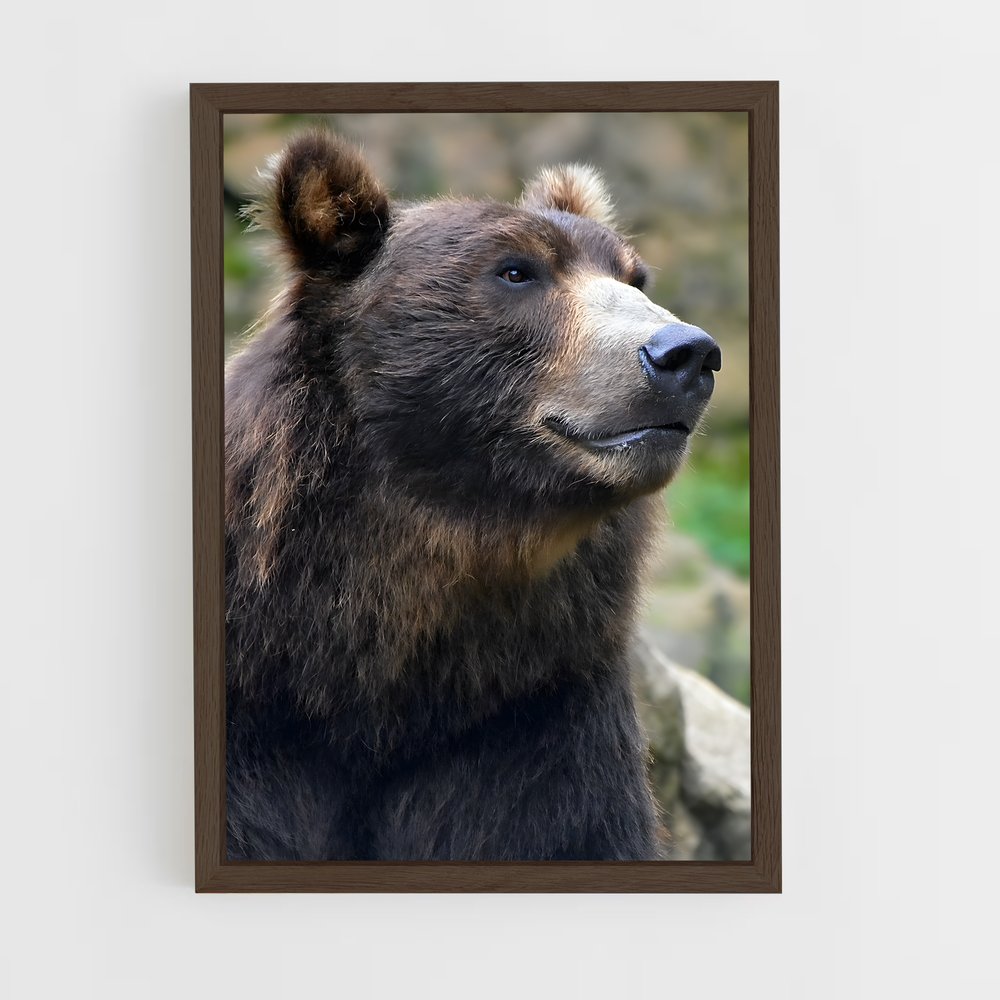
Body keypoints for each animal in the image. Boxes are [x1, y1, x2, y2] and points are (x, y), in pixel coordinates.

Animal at [224, 130, 721, 861]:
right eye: (516, 271)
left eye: (635, 277)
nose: (685, 353)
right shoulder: (261, 725)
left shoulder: (530, 715)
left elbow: (563, 827)